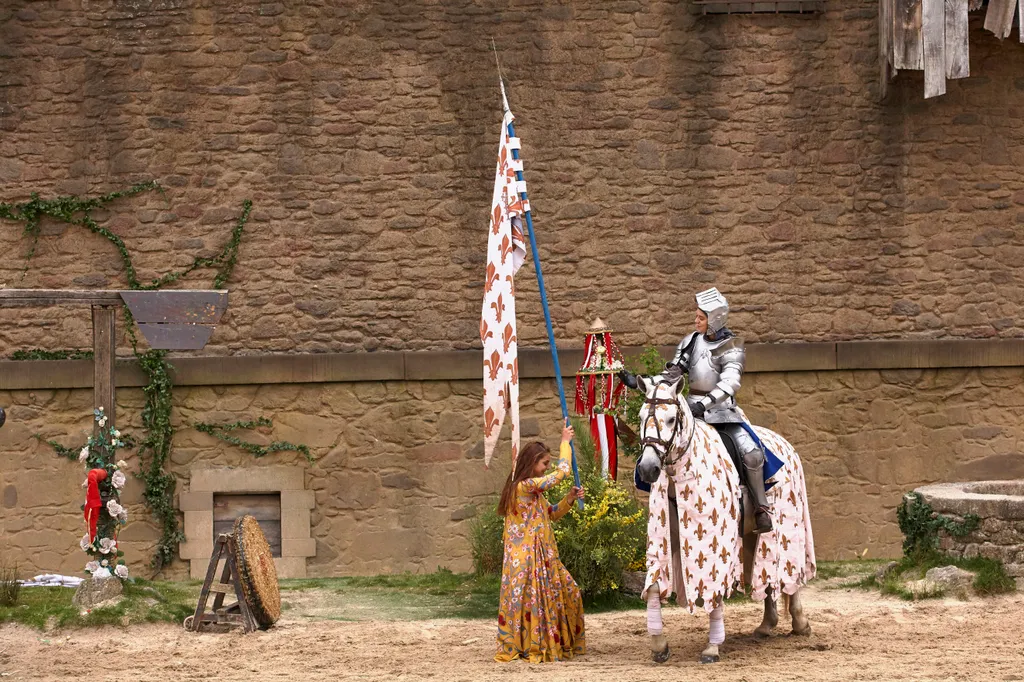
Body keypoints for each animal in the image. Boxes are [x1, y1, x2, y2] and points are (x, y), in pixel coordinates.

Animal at [630, 374, 815, 659]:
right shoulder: (661, 542)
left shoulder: (715, 544)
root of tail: (785, 445)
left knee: (789, 570)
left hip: (787, 526)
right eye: (640, 417)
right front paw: (659, 645)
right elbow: (653, 585)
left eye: (671, 419)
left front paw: (712, 646)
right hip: (752, 536)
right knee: (767, 577)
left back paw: (800, 622)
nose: (648, 468)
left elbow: (713, 587)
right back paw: (767, 624)